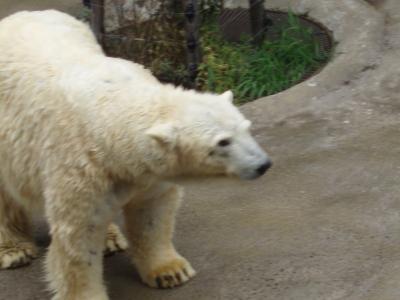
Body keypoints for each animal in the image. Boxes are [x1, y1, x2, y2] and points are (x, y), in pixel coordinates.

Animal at [0, 9, 272, 300]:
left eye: (247, 128)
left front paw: (171, 271)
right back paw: (15, 250)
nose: (263, 165)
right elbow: (78, 236)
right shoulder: (78, 166)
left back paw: (110, 240)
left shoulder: (147, 172)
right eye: (222, 142)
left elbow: (151, 213)